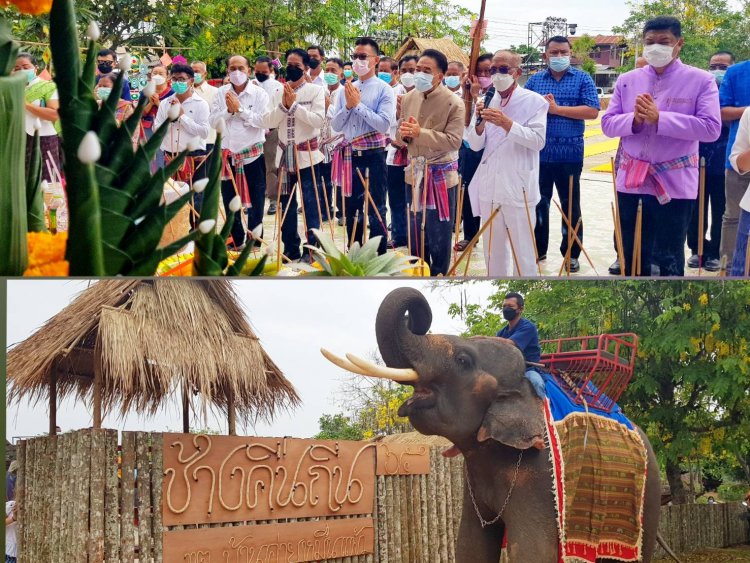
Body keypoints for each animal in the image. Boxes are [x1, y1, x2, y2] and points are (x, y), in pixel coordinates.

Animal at [324, 290, 676, 563]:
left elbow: (532, 550)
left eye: (463, 360)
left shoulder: (539, 474)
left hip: (647, 493)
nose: (418, 318)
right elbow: (470, 546)